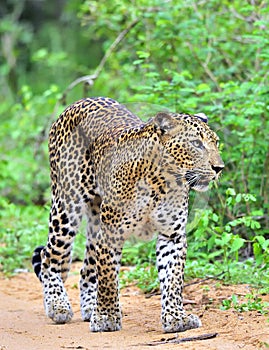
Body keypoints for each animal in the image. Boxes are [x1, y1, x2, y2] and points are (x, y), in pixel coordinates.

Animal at [31, 96, 224, 334]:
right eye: (196, 144)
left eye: (216, 142)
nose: (219, 168)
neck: (162, 182)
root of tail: (78, 102)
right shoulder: (111, 234)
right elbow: (107, 277)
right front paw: (106, 317)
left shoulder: (172, 235)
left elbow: (173, 278)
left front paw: (176, 318)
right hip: (67, 206)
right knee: (49, 256)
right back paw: (58, 306)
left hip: (96, 220)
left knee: (86, 270)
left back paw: (89, 308)